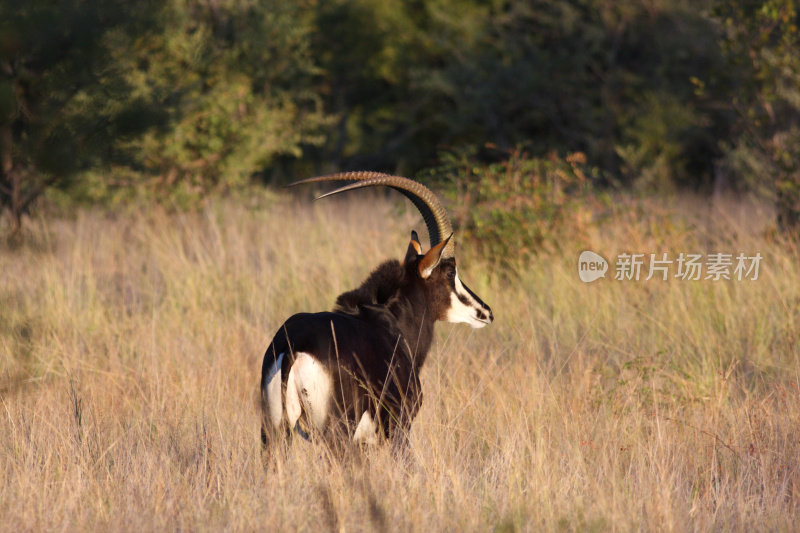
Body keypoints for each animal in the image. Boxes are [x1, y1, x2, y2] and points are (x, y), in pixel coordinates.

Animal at [260, 172, 494, 446]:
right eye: (450, 272)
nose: (486, 312)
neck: (391, 320)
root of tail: (293, 347)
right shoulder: (397, 428)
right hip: (339, 433)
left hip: (274, 433)